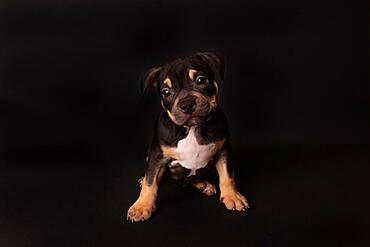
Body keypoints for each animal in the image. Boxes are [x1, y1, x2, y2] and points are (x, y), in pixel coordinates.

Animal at [127, 50, 249, 222]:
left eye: (200, 80)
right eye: (166, 92)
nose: (187, 104)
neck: (192, 128)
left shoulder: (224, 150)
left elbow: (227, 176)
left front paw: (233, 197)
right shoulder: (157, 156)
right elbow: (150, 183)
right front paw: (141, 206)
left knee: (191, 180)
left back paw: (203, 184)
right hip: (149, 153)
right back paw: (142, 180)